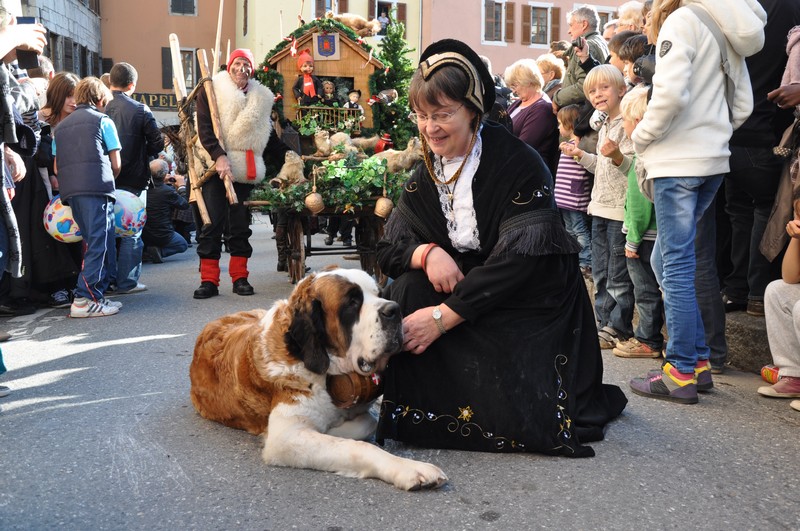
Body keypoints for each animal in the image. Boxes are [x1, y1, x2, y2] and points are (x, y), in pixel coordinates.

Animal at [190, 268, 446, 492]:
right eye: (352, 302)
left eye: (380, 294)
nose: (395, 309)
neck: (328, 370)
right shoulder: (285, 437)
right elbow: (358, 445)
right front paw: (410, 468)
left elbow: (366, 422)